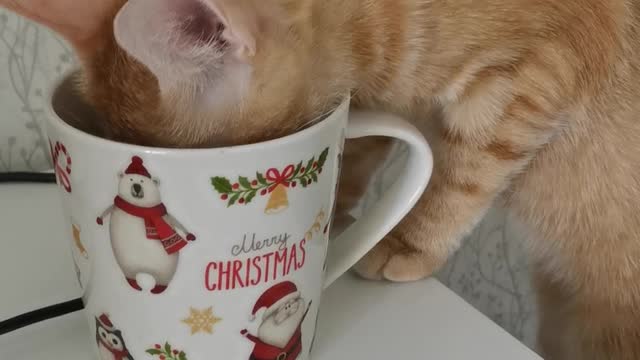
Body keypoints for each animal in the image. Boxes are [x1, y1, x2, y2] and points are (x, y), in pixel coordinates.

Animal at [5, 0, 640, 358]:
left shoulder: (535, 74)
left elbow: (464, 170)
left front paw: (406, 241)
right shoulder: (381, 100)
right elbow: (362, 150)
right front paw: (341, 215)